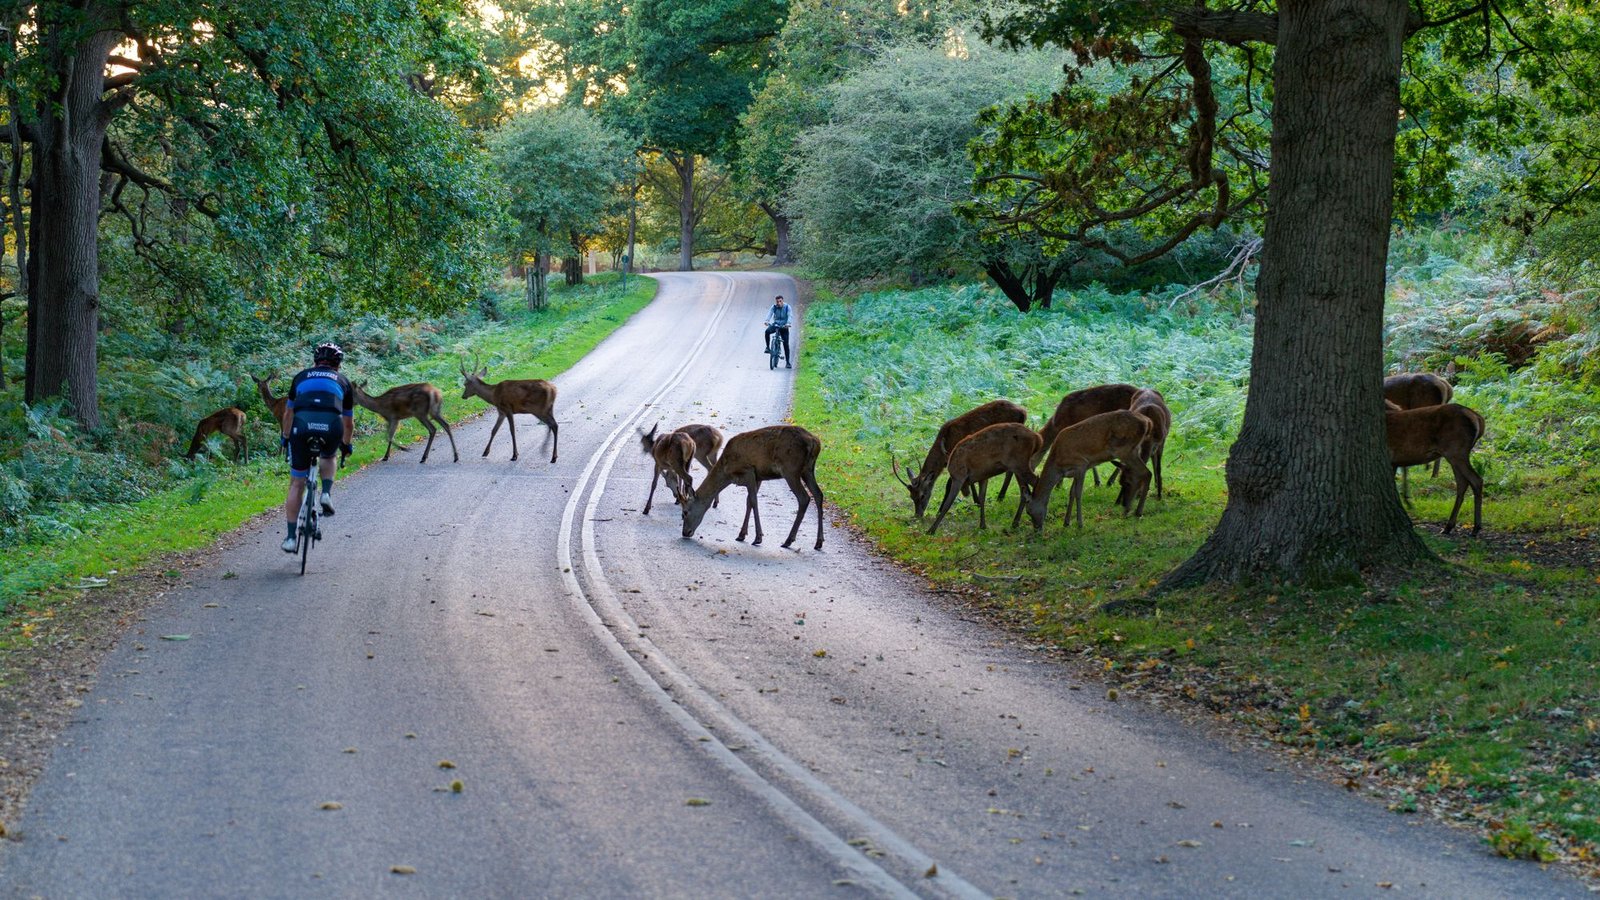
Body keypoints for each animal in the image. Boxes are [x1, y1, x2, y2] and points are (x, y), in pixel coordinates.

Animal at [681, 425, 825, 551]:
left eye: (685, 512)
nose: (685, 532)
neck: (727, 472)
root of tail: (815, 442)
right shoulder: (758, 477)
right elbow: (749, 501)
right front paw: (741, 535)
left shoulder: (748, 472)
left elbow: (754, 501)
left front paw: (758, 538)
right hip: (808, 469)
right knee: (818, 494)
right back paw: (818, 542)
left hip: (791, 469)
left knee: (804, 498)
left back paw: (788, 540)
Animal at [892, 399, 1027, 518]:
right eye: (911, 496)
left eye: (922, 495)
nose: (918, 515)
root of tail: (1023, 412)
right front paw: (977, 501)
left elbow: (949, 484)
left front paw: (940, 510)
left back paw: (1001, 496)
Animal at [1386, 402, 1485, 535]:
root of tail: (1478, 418)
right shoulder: (1395, 462)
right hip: (1455, 454)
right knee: (1462, 483)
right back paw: (1448, 526)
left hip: (1455, 451)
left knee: (1476, 480)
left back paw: (1475, 528)